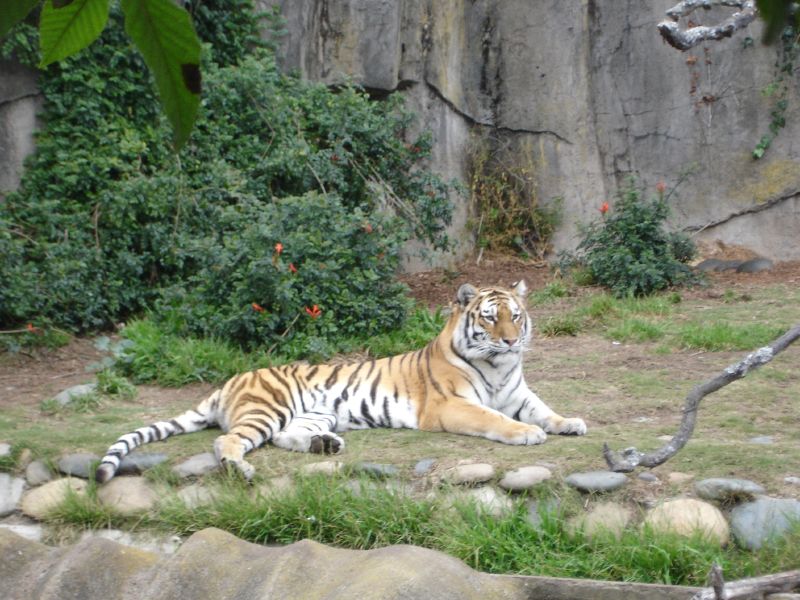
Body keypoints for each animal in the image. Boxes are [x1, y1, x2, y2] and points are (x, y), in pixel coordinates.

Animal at [97, 282, 588, 482]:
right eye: (489, 317)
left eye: (516, 316)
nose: (509, 340)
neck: (500, 367)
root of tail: (232, 379)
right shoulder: (451, 405)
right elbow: (496, 420)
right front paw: (527, 433)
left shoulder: (520, 393)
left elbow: (546, 409)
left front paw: (570, 423)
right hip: (267, 408)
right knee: (227, 441)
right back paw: (241, 469)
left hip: (312, 414)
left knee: (284, 438)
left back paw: (325, 446)